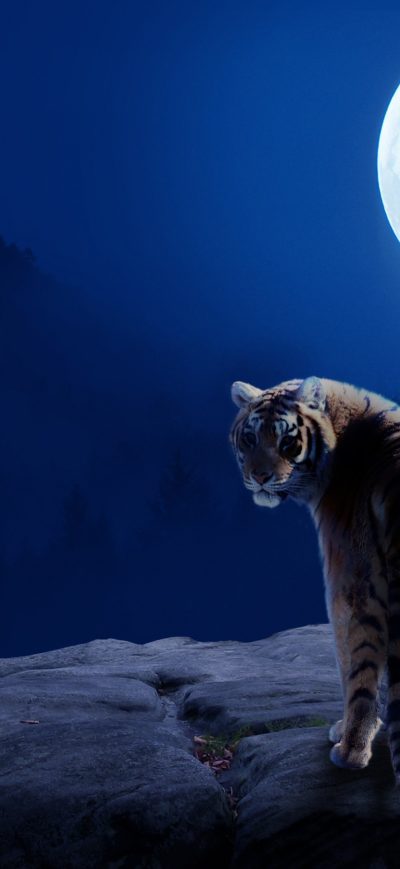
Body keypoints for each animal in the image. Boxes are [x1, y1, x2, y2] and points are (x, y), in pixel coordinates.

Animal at [229, 375, 400, 782]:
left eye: (286, 440)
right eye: (250, 438)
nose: (260, 477)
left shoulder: (349, 581)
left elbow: (353, 665)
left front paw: (349, 741)